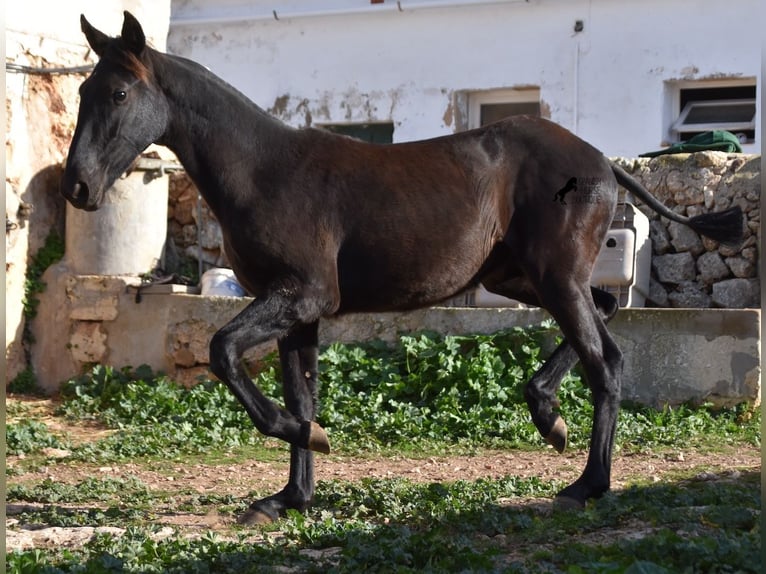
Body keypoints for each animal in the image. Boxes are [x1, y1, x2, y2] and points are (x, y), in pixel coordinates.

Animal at [60, 13, 744, 528]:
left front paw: (310, 439)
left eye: (118, 94)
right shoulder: (299, 315)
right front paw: (290, 496)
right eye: (82, 93)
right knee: (604, 320)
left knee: (606, 362)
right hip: (523, 280)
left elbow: (223, 351)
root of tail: (604, 162)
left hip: (552, 279)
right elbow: (301, 393)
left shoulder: (299, 297)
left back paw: (587, 482)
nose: (79, 187)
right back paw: (548, 415)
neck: (262, 171)